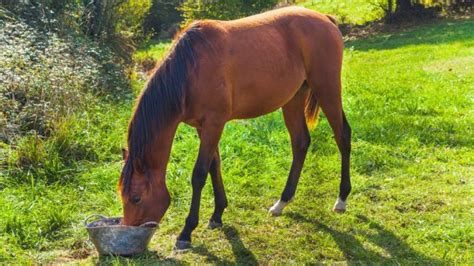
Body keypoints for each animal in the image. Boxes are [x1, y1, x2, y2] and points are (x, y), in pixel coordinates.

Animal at [118, 5, 350, 249]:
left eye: (136, 198)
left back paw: (341, 199)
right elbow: (214, 166)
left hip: (327, 89)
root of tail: (326, 19)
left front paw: (186, 231)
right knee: (301, 143)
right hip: (294, 98)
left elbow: (199, 174)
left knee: (342, 136)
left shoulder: (214, 123)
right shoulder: (203, 127)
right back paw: (282, 202)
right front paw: (217, 214)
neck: (190, 69)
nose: (129, 233)